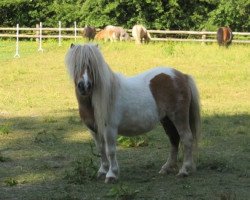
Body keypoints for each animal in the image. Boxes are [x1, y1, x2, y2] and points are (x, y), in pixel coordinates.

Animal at [65, 43, 201, 184]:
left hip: (178, 117)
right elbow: (101, 149)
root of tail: (182, 76)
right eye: (76, 64)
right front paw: (102, 171)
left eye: (92, 65)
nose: (84, 86)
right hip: (167, 119)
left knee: (186, 138)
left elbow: (110, 151)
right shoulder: (94, 130)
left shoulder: (110, 129)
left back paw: (184, 170)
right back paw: (166, 168)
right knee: (174, 139)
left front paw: (111, 174)